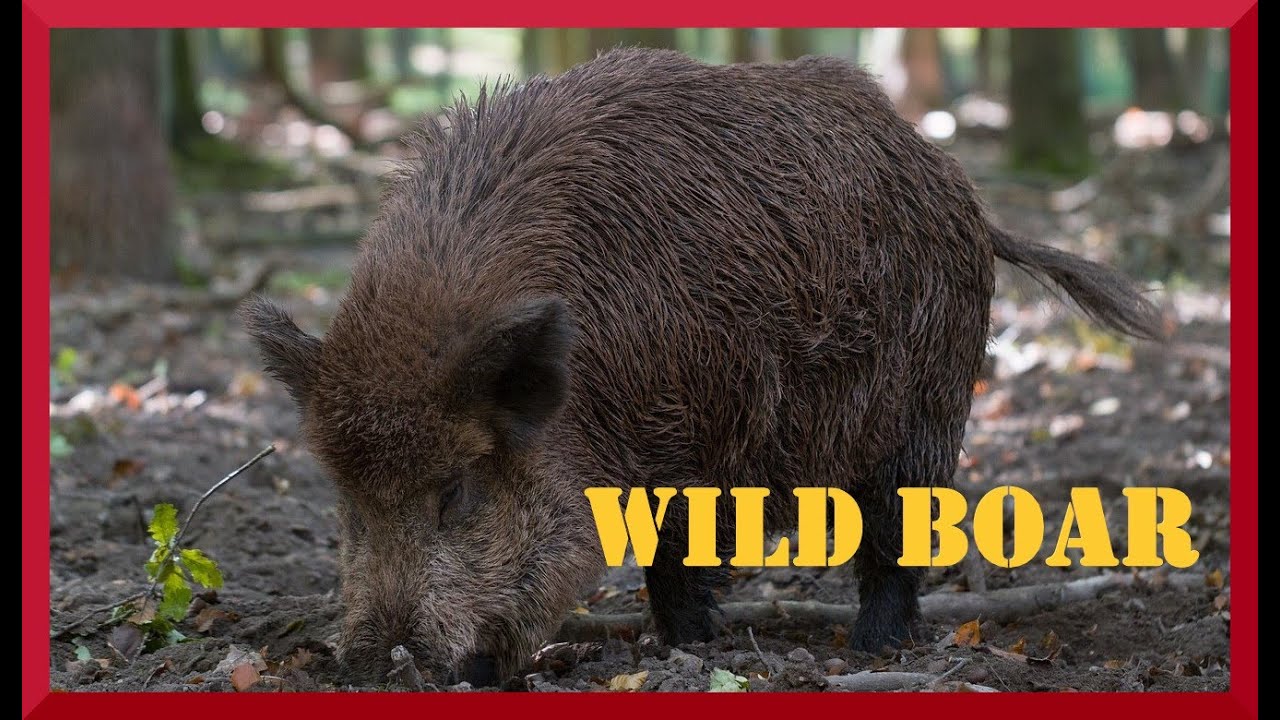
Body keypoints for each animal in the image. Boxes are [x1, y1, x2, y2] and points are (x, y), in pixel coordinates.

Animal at [241, 47, 1164, 685]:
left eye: (457, 492)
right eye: (348, 502)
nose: (380, 665)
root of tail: (961, 193)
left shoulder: (688, 431)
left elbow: (673, 551)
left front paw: (686, 645)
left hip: (929, 402)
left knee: (897, 529)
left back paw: (875, 645)